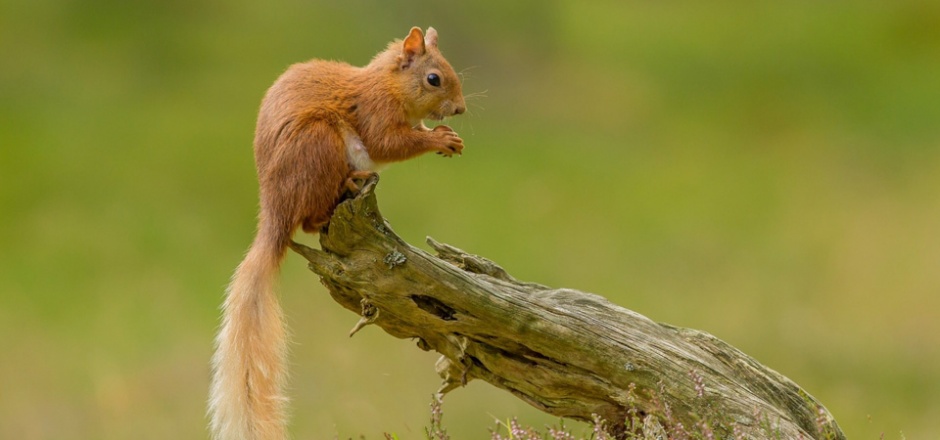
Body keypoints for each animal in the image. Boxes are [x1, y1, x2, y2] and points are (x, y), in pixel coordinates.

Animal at [209, 27, 466, 440]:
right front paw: (440, 139)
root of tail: (276, 212)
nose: (460, 109)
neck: (387, 86)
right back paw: (352, 179)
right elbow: (389, 143)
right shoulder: (376, 115)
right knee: (310, 221)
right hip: (319, 144)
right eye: (433, 79)